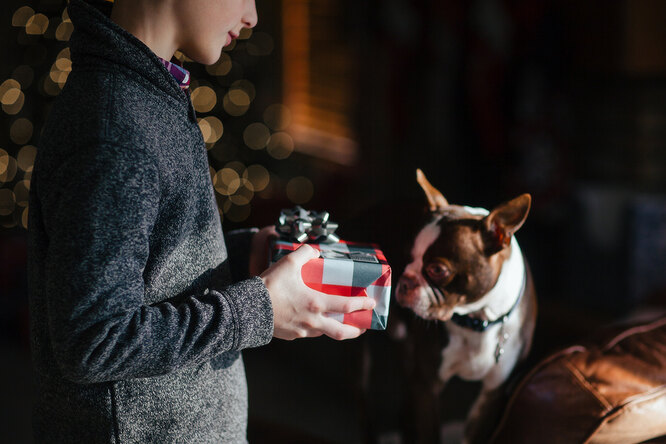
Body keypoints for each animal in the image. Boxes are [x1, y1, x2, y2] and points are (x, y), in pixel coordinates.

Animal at [394, 170, 536, 444]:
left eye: (437, 270)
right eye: (406, 256)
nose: (404, 282)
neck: (477, 319)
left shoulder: (493, 394)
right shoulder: (427, 386)